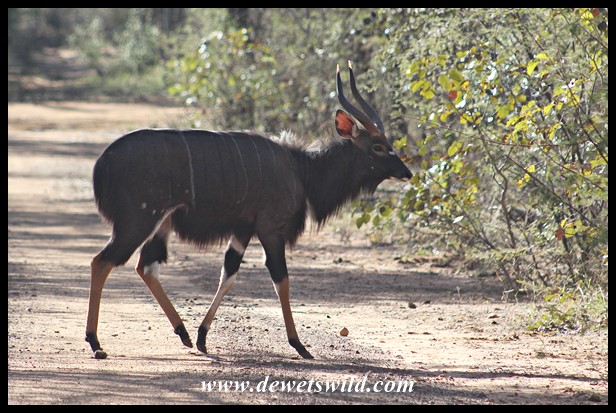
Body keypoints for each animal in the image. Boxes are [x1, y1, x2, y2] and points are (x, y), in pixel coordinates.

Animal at [86, 61, 412, 360]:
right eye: (378, 146)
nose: (407, 173)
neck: (302, 170)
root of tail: (103, 163)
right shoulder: (270, 229)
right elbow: (281, 280)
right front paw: (299, 345)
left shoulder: (243, 230)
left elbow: (228, 274)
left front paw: (203, 338)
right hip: (138, 221)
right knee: (103, 262)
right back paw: (95, 342)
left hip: (158, 225)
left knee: (145, 266)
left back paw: (183, 333)